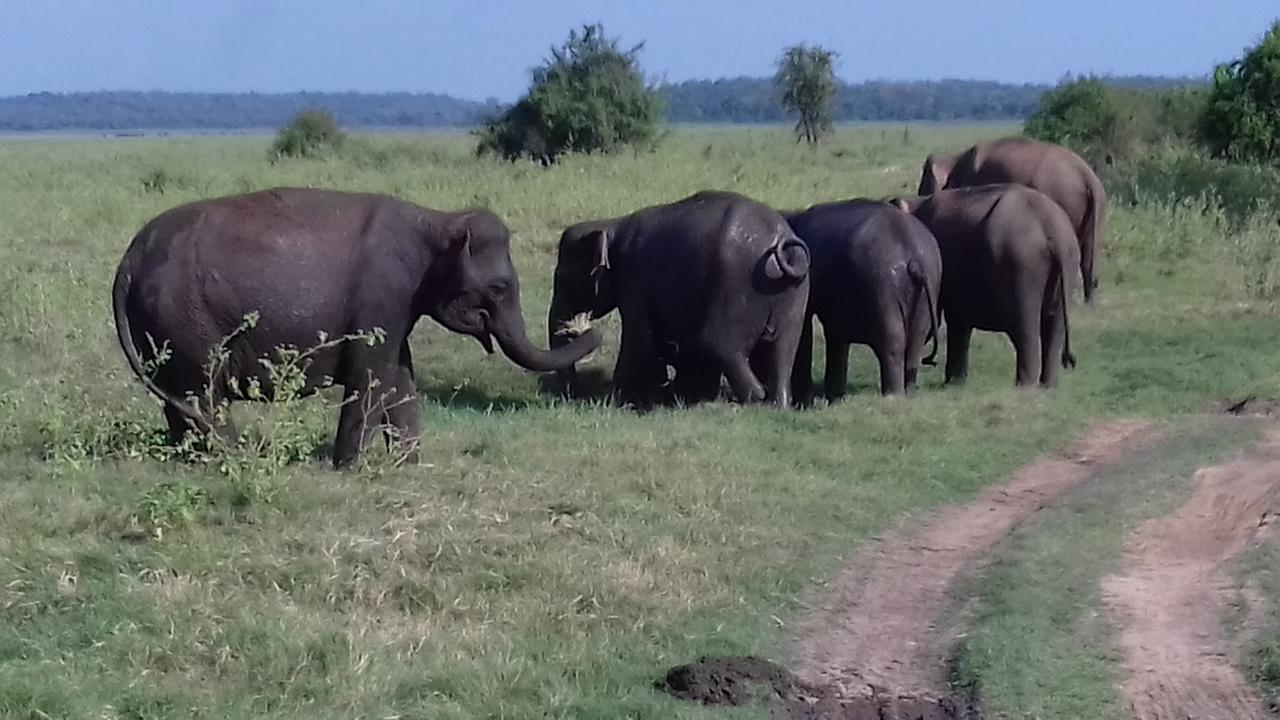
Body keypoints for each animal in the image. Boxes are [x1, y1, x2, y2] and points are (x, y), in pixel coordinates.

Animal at [112, 184, 601, 466]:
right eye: (499, 289)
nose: (589, 330)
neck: (436, 219)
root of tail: (130, 259)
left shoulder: (396, 306)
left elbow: (399, 373)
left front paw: (408, 463)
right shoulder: (383, 293)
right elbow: (371, 376)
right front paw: (348, 467)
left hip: (162, 326)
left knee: (179, 397)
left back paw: (193, 459)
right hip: (185, 319)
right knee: (205, 393)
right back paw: (232, 458)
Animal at [547, 188, 808, 407]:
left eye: (562, 277)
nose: (570, 395)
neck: (612, 225)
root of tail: (780, 241)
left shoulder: (633, 280)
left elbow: (639, 342)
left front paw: (615, 399)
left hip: (735, 287)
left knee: (718, 344)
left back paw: (756, 398)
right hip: (794, 298)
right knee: (784, 350)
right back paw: (777, 403)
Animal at [778, 198, 942, 399]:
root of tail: (914, 257)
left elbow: (805, 330)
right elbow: (835, 333)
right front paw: (835, 397)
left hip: (882, 286)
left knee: (892, 341)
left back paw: (892, 396)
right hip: (928, 285)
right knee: (915, 342)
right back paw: (908, 394)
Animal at [890, 183, 1080, 386]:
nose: (928, 360)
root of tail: (1051, 230)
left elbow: (956, 320)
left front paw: (952, 383)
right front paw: (956, 383)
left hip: (1023, 268)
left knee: (1025, 328)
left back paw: (1024, 386)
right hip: (1067, 265)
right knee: (1054, 329)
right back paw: (1047, 386)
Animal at [916, 134, 1105, 299]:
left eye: (925, 189)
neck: (954, 159)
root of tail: (1087, 177)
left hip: (1064, 199)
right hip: (1092, 212)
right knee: (1087, 258)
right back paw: (1088, 304)